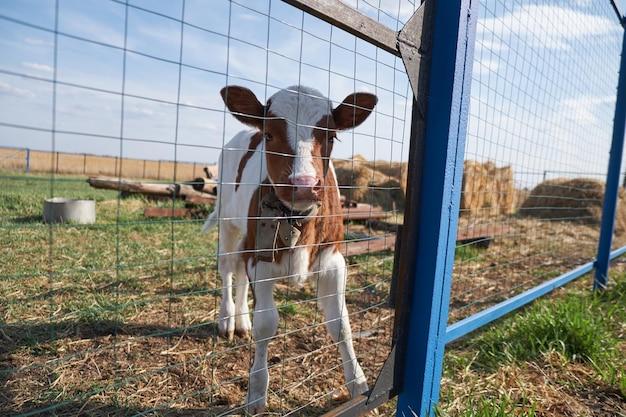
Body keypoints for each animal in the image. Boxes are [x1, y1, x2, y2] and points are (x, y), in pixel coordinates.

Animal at [202, 84, 376, 412]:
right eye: (270, 135)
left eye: (331, 136)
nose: (304, 184)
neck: (297, 218)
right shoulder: (261, 261)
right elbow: (266, 325)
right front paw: (257, 392)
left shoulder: (333, 261)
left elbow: (341, 324)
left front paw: (358, 384)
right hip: (229, 224)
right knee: (228, 269)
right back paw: (227, 320)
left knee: (240, 273)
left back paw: (241, 321)